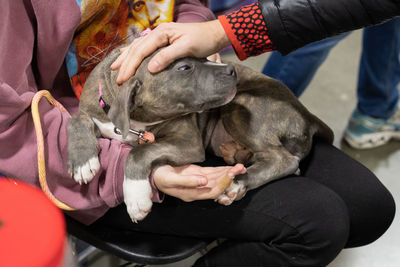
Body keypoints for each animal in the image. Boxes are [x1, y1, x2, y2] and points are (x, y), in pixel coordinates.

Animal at [67, 47, 332, 222]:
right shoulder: (92, 110)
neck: (135, 120)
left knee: (284, 160)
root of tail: (307, 114)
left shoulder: (188, 142)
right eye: (185, 67)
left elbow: (141, 151)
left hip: (241, 105)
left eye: (205, 57)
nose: (231, 69)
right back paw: (235, 156)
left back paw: (237, 182)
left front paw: (136, 196)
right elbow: (75, 119)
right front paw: (82, 161)